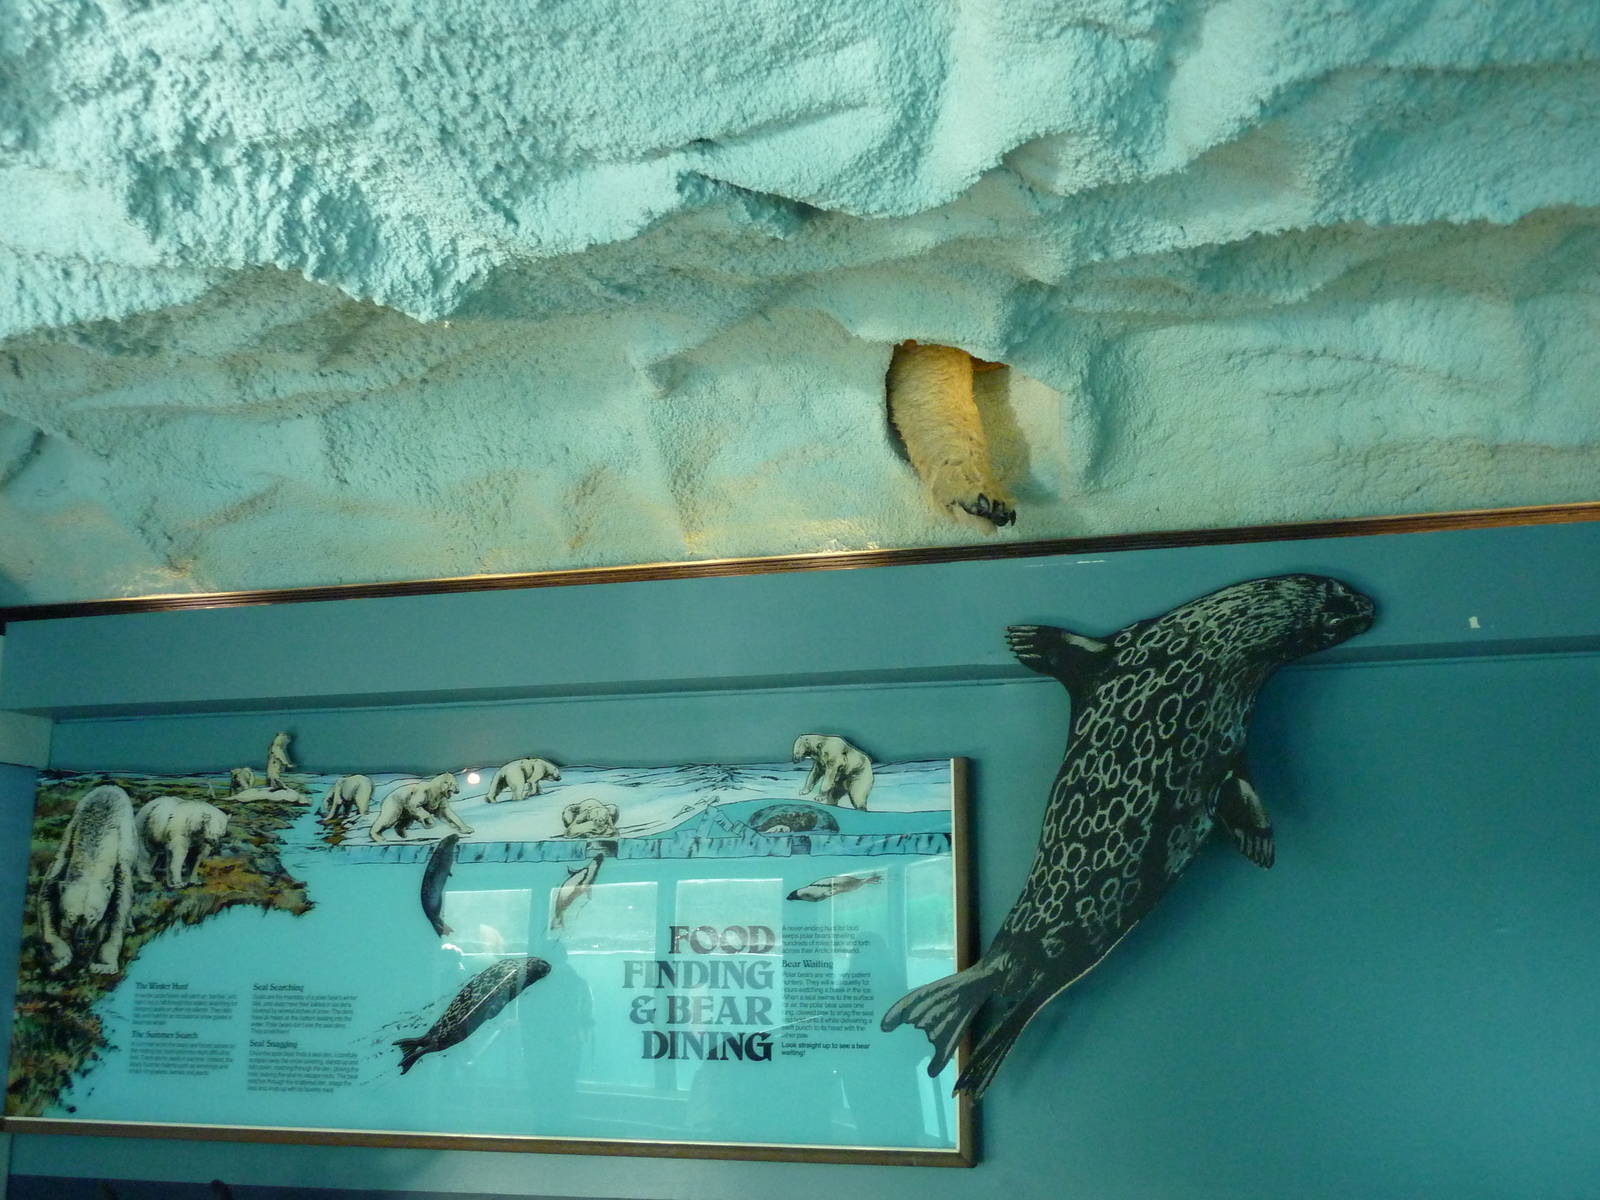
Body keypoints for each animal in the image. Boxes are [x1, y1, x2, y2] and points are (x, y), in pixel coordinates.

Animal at [39, 784, 138, 975]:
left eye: (93, 916)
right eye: (71, 916)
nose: (80, 939)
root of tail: (110, 785)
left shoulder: (120, 864)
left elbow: (119, 909)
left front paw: (102, 963)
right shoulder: (65, 852)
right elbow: (46, 896)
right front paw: (61, 958)